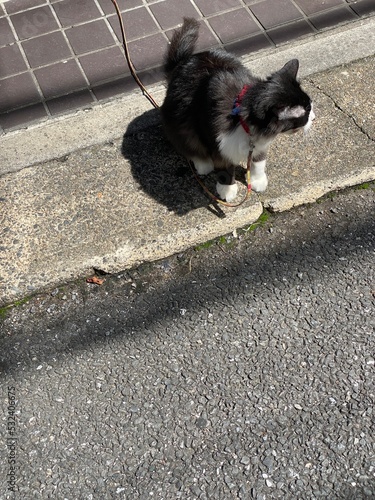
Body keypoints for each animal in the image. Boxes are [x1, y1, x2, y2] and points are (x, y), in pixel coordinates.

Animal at [160, 18, 316, 201]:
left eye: (310, 106)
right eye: (306, 111)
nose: (314, 117)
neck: (243, 117)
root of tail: (182, 62)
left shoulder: (258, 146)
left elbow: (258, 163)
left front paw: (257, 180)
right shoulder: (217, 144)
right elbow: (225, 171)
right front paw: (227, 190)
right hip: (178, 123)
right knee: (189, 146)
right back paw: (203, 165)